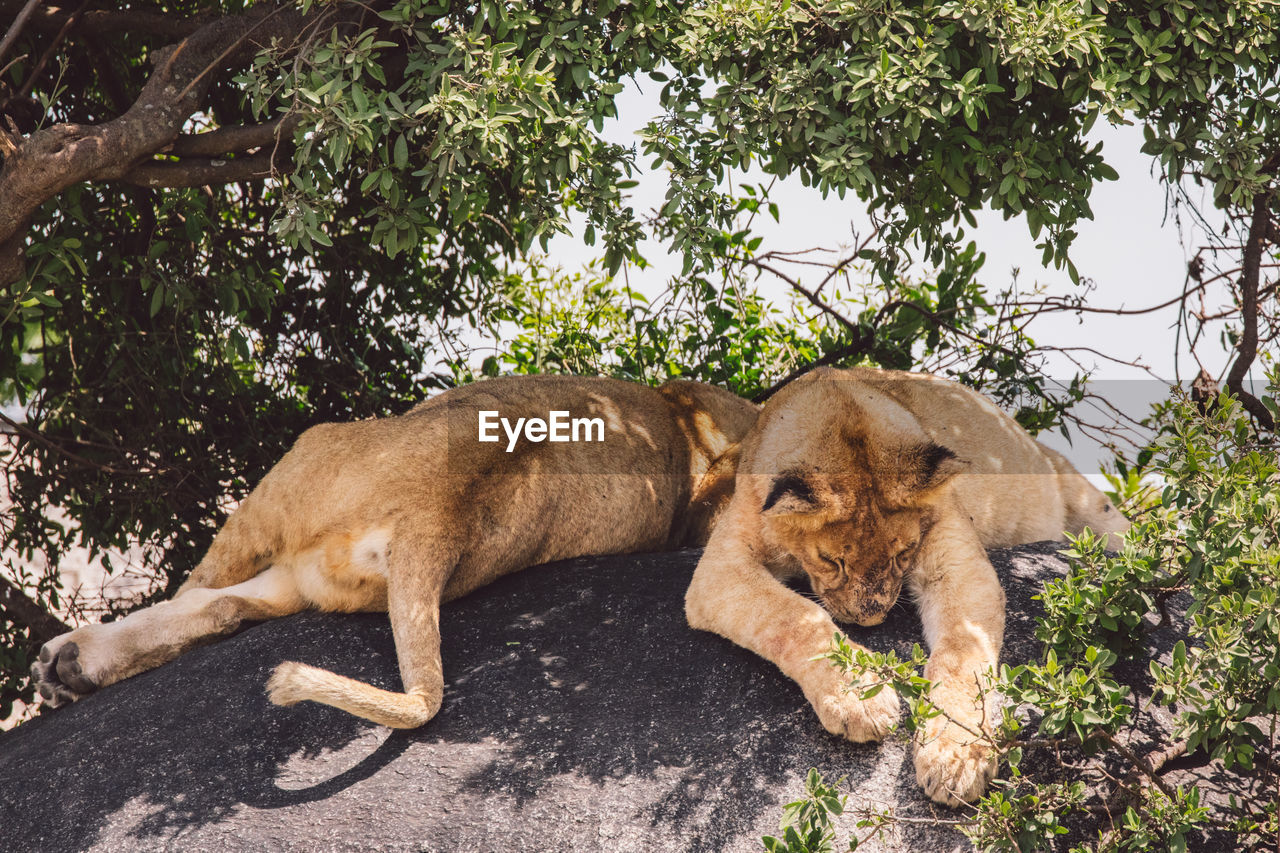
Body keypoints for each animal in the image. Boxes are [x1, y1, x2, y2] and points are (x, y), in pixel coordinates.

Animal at [32, 376, 757, 722]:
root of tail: (441, 512)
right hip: (314, 573)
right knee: (221, 607)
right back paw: (72, 667)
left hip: (304, 458)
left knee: (201, 591)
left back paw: (69, 661)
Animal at [686, 366, 1126, 804]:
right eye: (831, 561)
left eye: (903, 553)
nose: (871, 619)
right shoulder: (721, 567)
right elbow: (794, 617)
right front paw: (859, 695)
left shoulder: (956, 562)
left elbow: (962, 653)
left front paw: (956, 755)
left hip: (1093, 508)